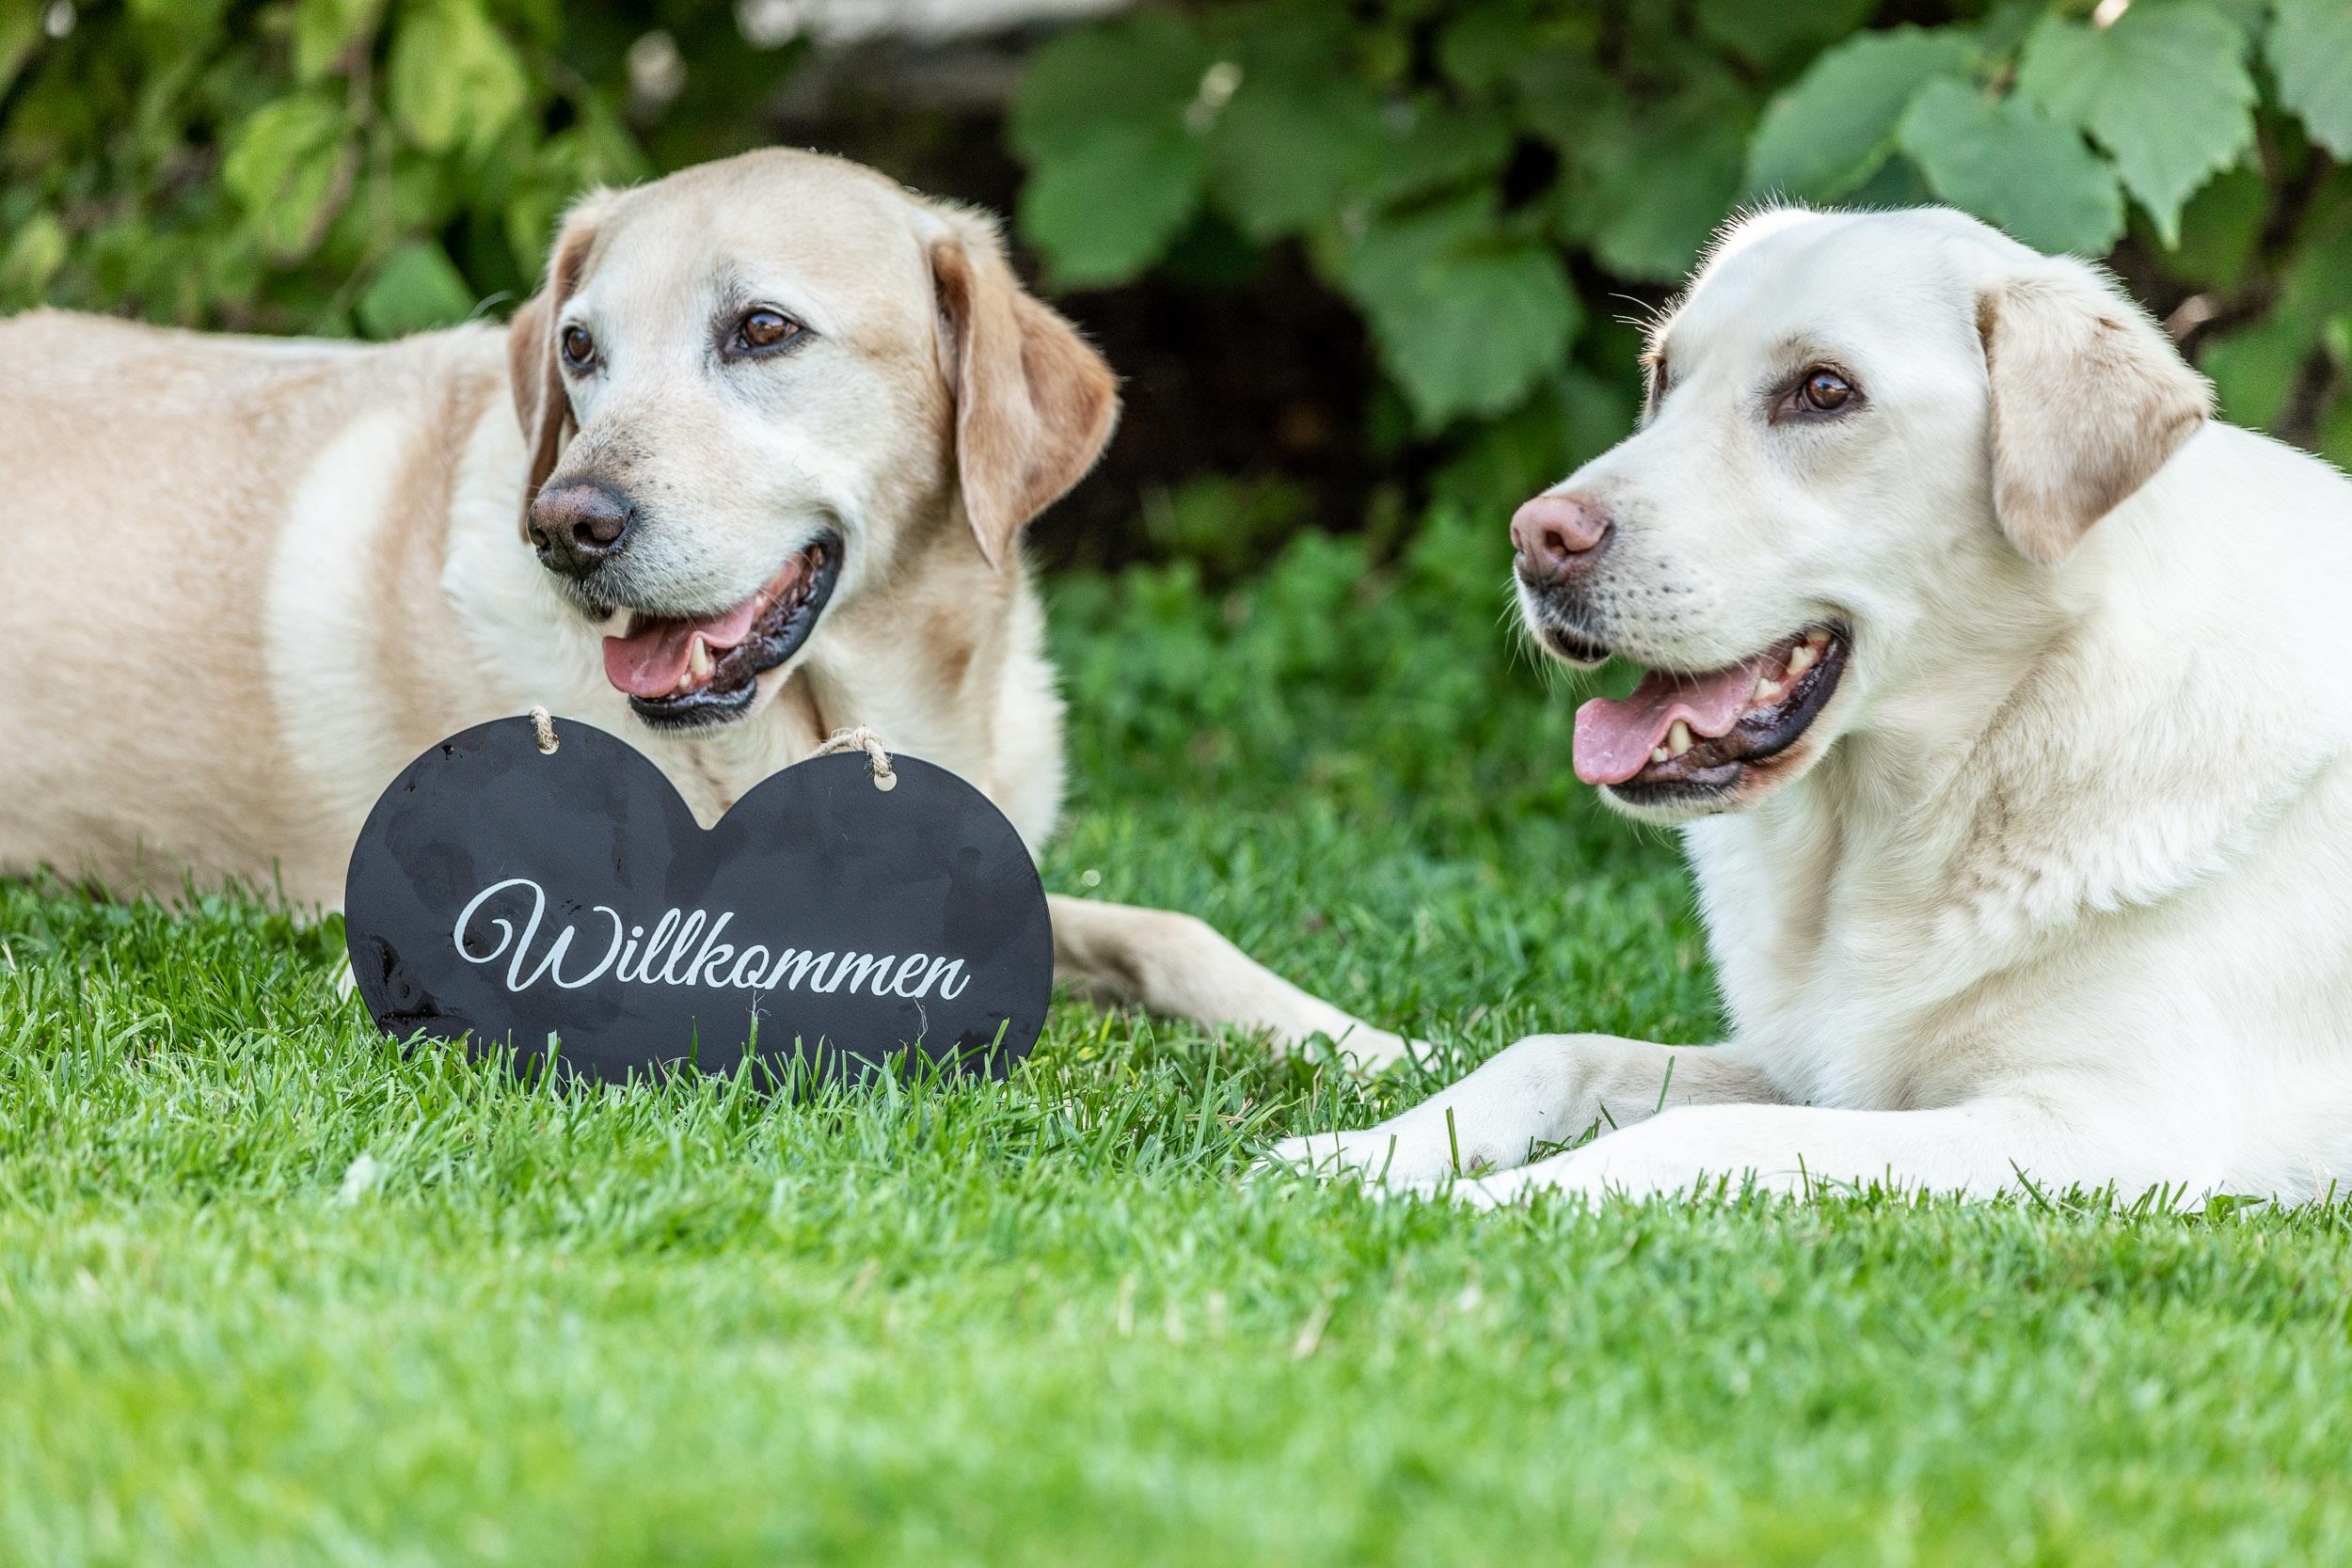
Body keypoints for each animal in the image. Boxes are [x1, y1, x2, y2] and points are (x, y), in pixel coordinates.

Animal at [0, 148, 1404, 1065]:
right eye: (580, 347)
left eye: (764, 329)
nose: (563, 524)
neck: (830, 720)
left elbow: (1173, 927)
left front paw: (1365, 1042)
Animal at [1276, 206, 2352, 1204]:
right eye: (1662, 376)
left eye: (1824, 391)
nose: (1536, 537)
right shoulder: (1811, 1062)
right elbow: (1554, 1047)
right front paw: (1363, 1156)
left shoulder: (2105, 1134)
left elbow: (1696, 1135)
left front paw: (1492, 1203)